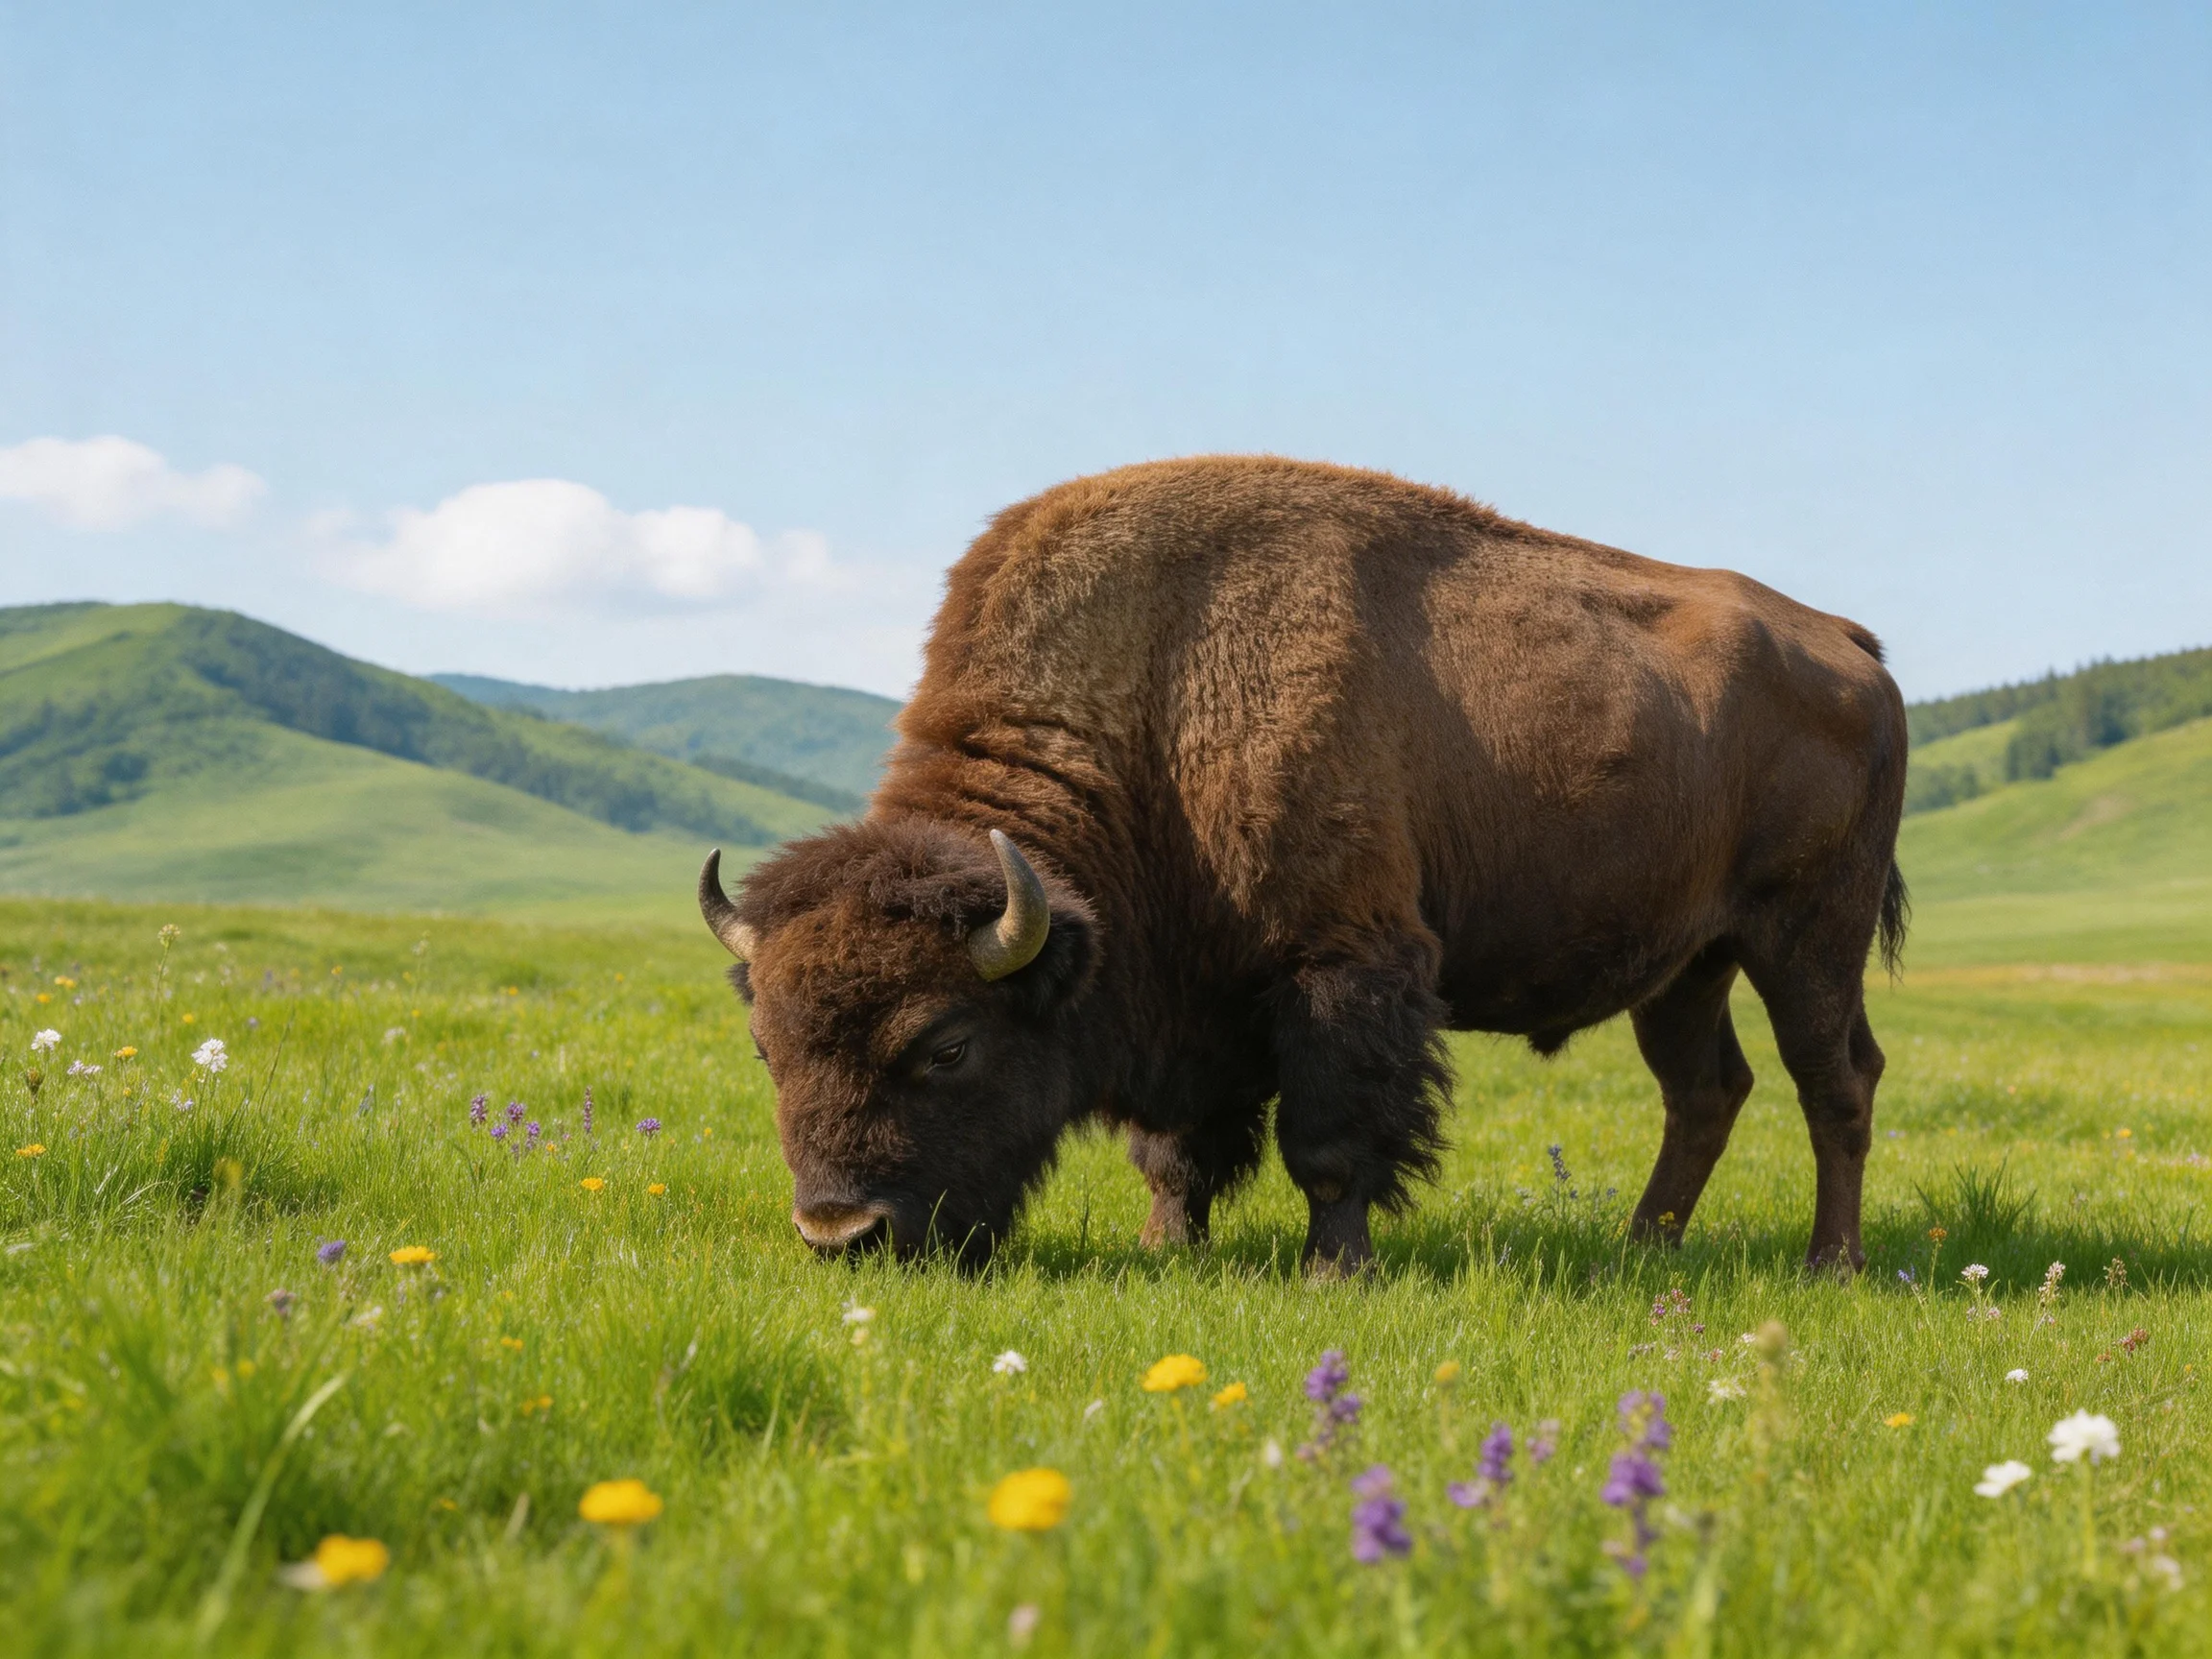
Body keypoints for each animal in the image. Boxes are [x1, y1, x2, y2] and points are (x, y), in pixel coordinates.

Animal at [701, 456, 1907, 1275]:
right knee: (1706, 1090)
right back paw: (1640, 1247)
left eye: (946, 1045)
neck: (1158, 692)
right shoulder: (1189, 997)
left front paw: (1338, 1269)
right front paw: (1168, 1248)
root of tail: (1850, 645)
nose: (840, 1231)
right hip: (1688, 964)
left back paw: (1828, 1264)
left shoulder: (1341, 958)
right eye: (765, 1047)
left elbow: (1328, 1138)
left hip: (1807, 935)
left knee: (1835, 1080)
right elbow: (1177, 1151)